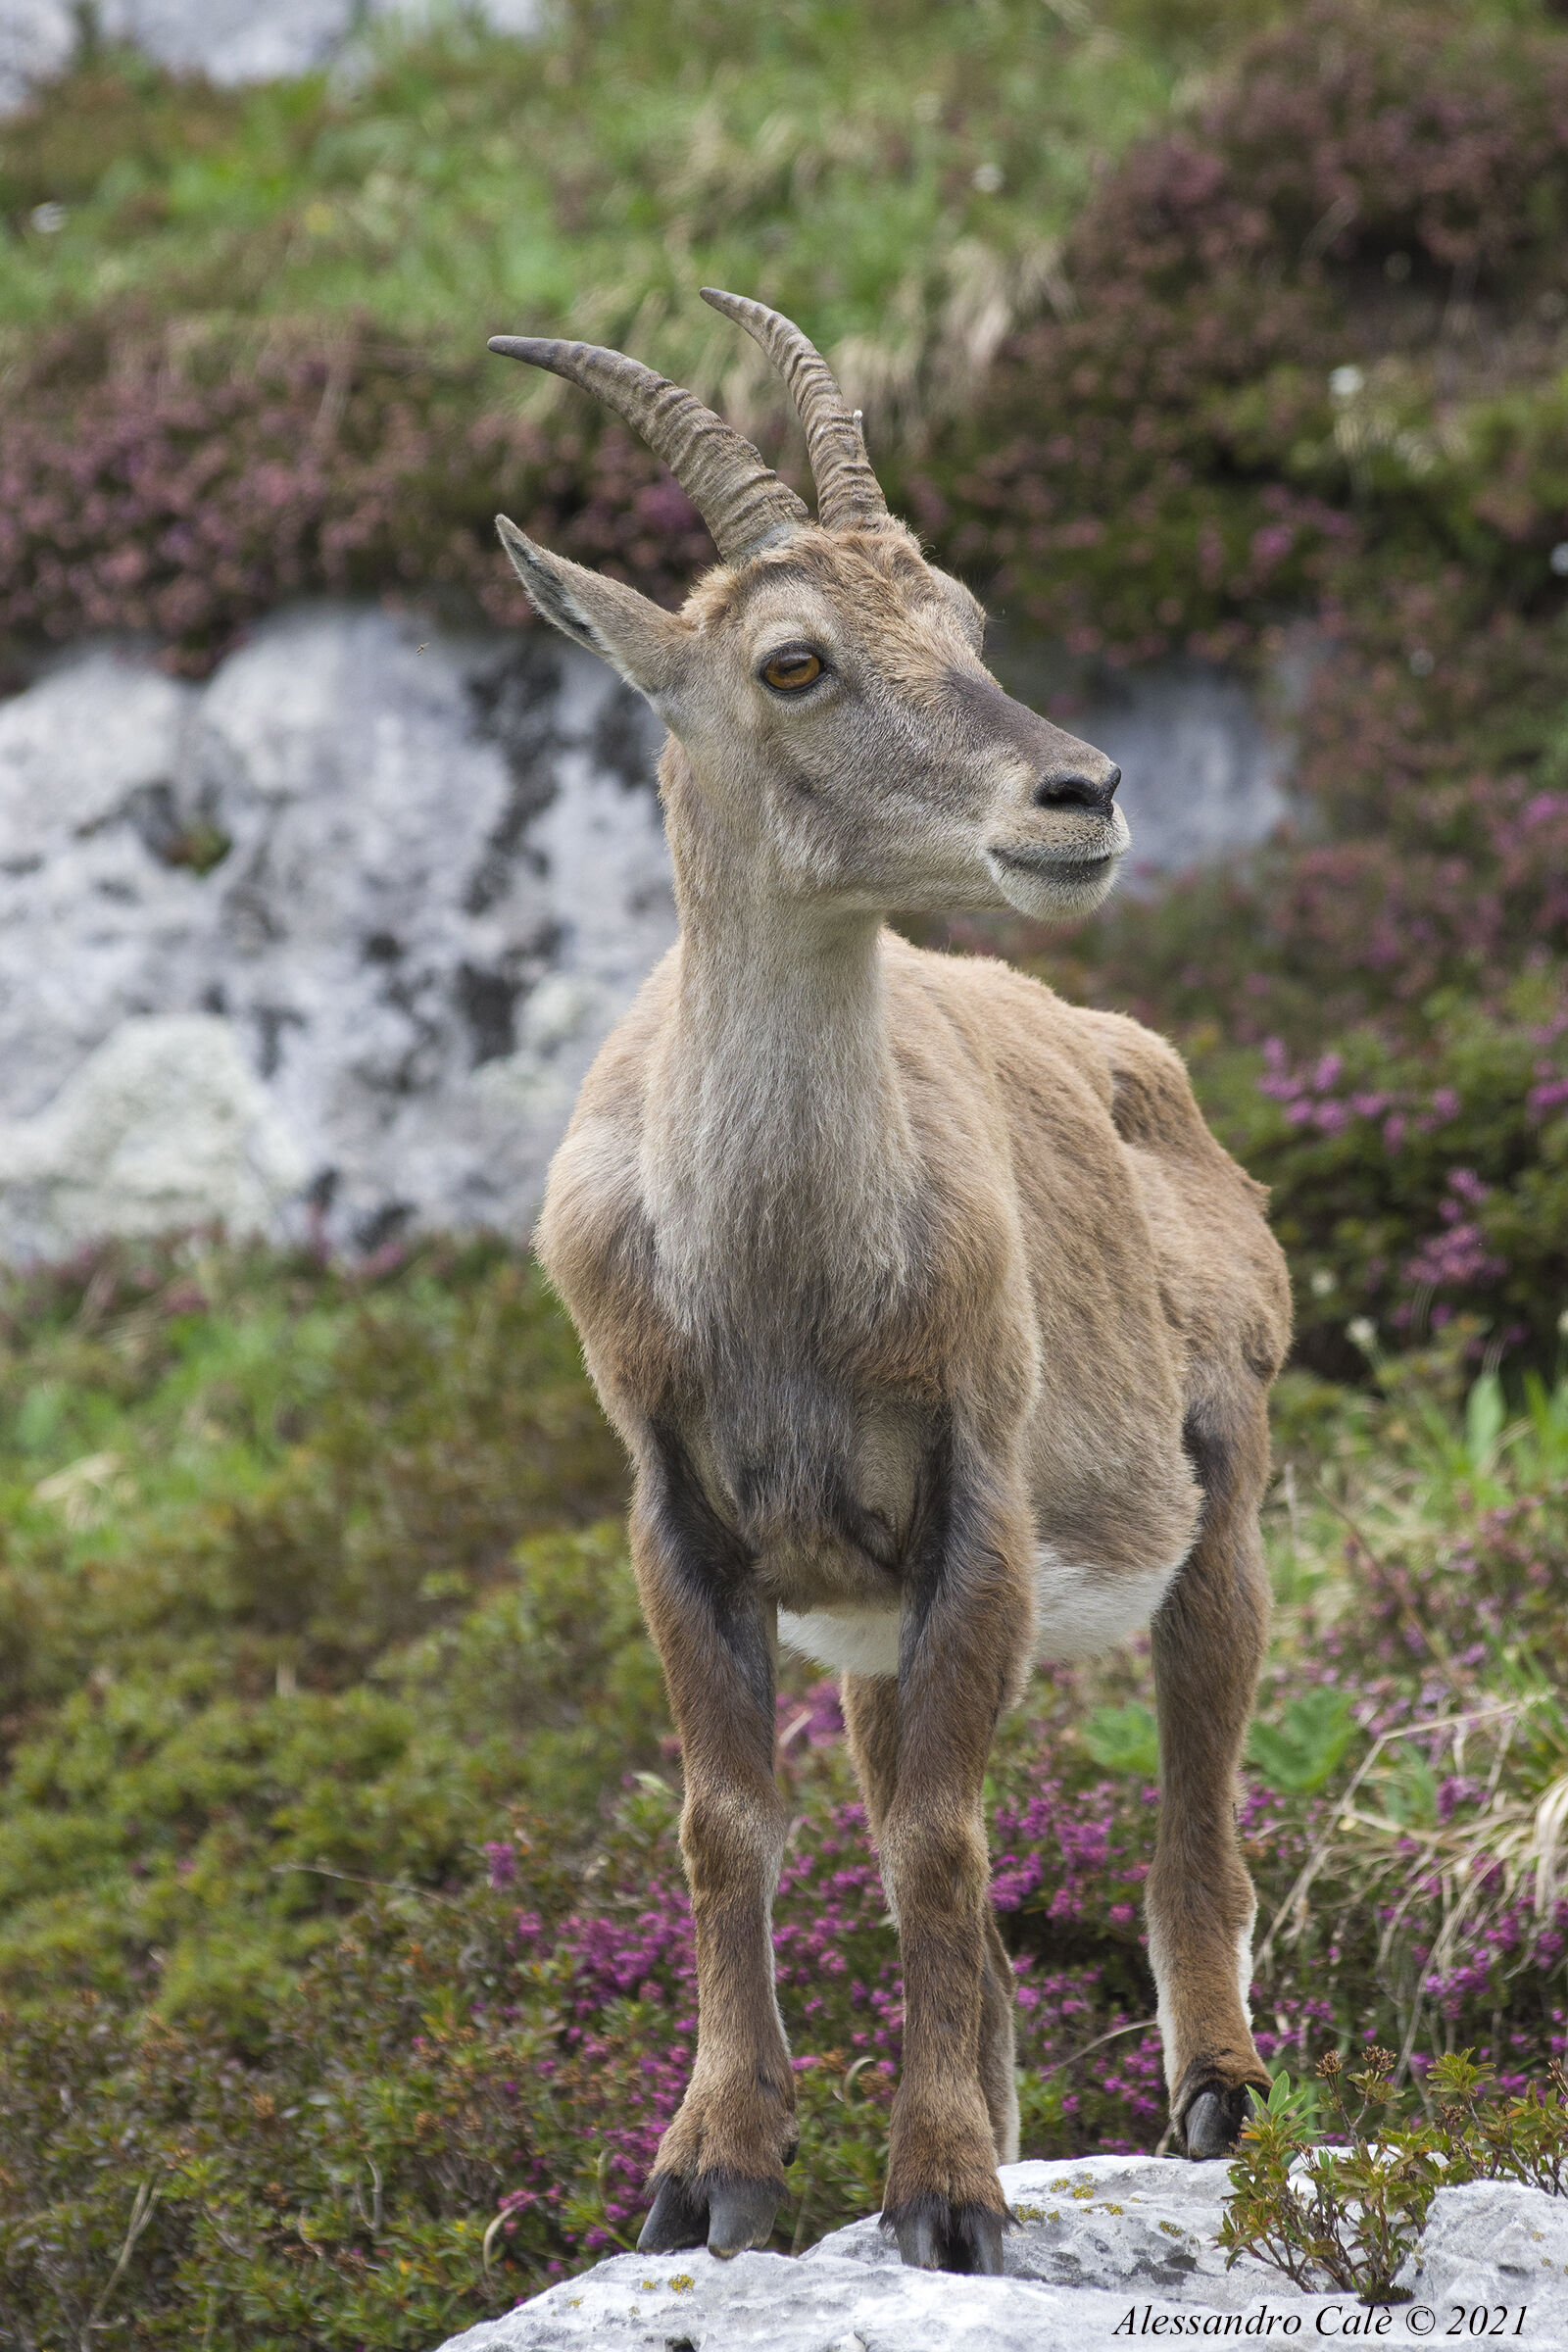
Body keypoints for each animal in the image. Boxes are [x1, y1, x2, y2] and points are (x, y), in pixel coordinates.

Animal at [487, 291, 1292, 2276]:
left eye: (970, 624)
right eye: (794, 662)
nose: (1084, 794)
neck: (777, 1270)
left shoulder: (977, 1497)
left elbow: (939, 1841)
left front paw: (940, 2193)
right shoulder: (682, 1517)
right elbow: (729, 1826)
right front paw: (716, 2172)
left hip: (1220, 1497)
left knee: (1194, 1807)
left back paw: (1216, 2097)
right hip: (859, 1632)